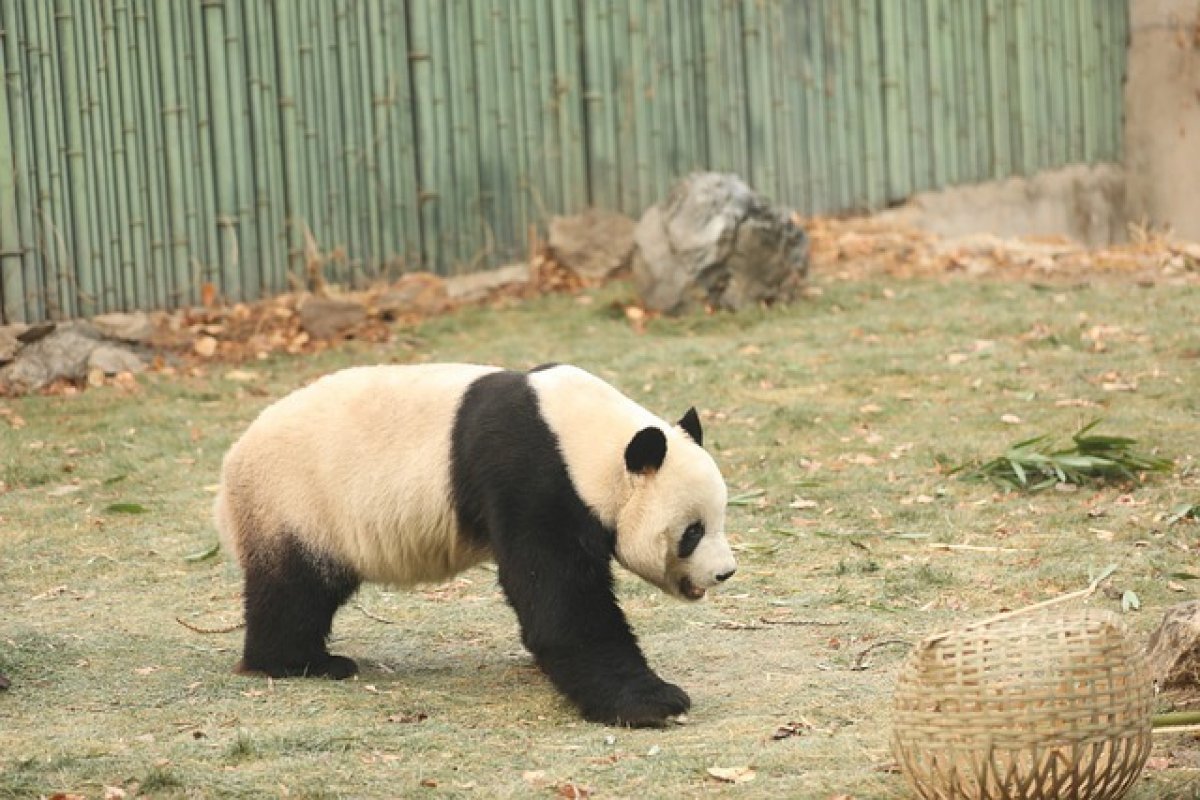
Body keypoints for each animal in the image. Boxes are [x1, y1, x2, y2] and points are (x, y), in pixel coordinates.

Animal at [214, 362, 737, 727]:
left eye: (720, 519)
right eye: (692, 531)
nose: (725, 572)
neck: (587, 441)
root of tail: (230, 463)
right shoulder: (532, 477)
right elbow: (561, 599)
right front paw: (653, 702)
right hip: (295, 503)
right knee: (294, 591)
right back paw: (299, 662)